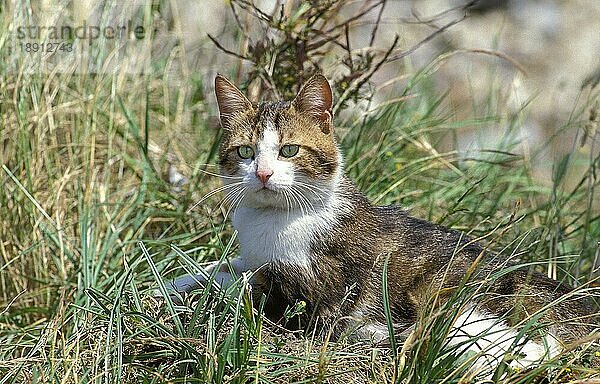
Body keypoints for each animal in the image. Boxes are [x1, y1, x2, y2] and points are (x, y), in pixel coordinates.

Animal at [163, 73, 596, 370]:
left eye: (289, 150)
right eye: (245, 151)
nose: (264, 174)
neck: (268, 222)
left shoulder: (315, 293)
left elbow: (249, 288)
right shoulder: (253, 257)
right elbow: (221, 266)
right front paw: (171, 281)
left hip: (446, 298)